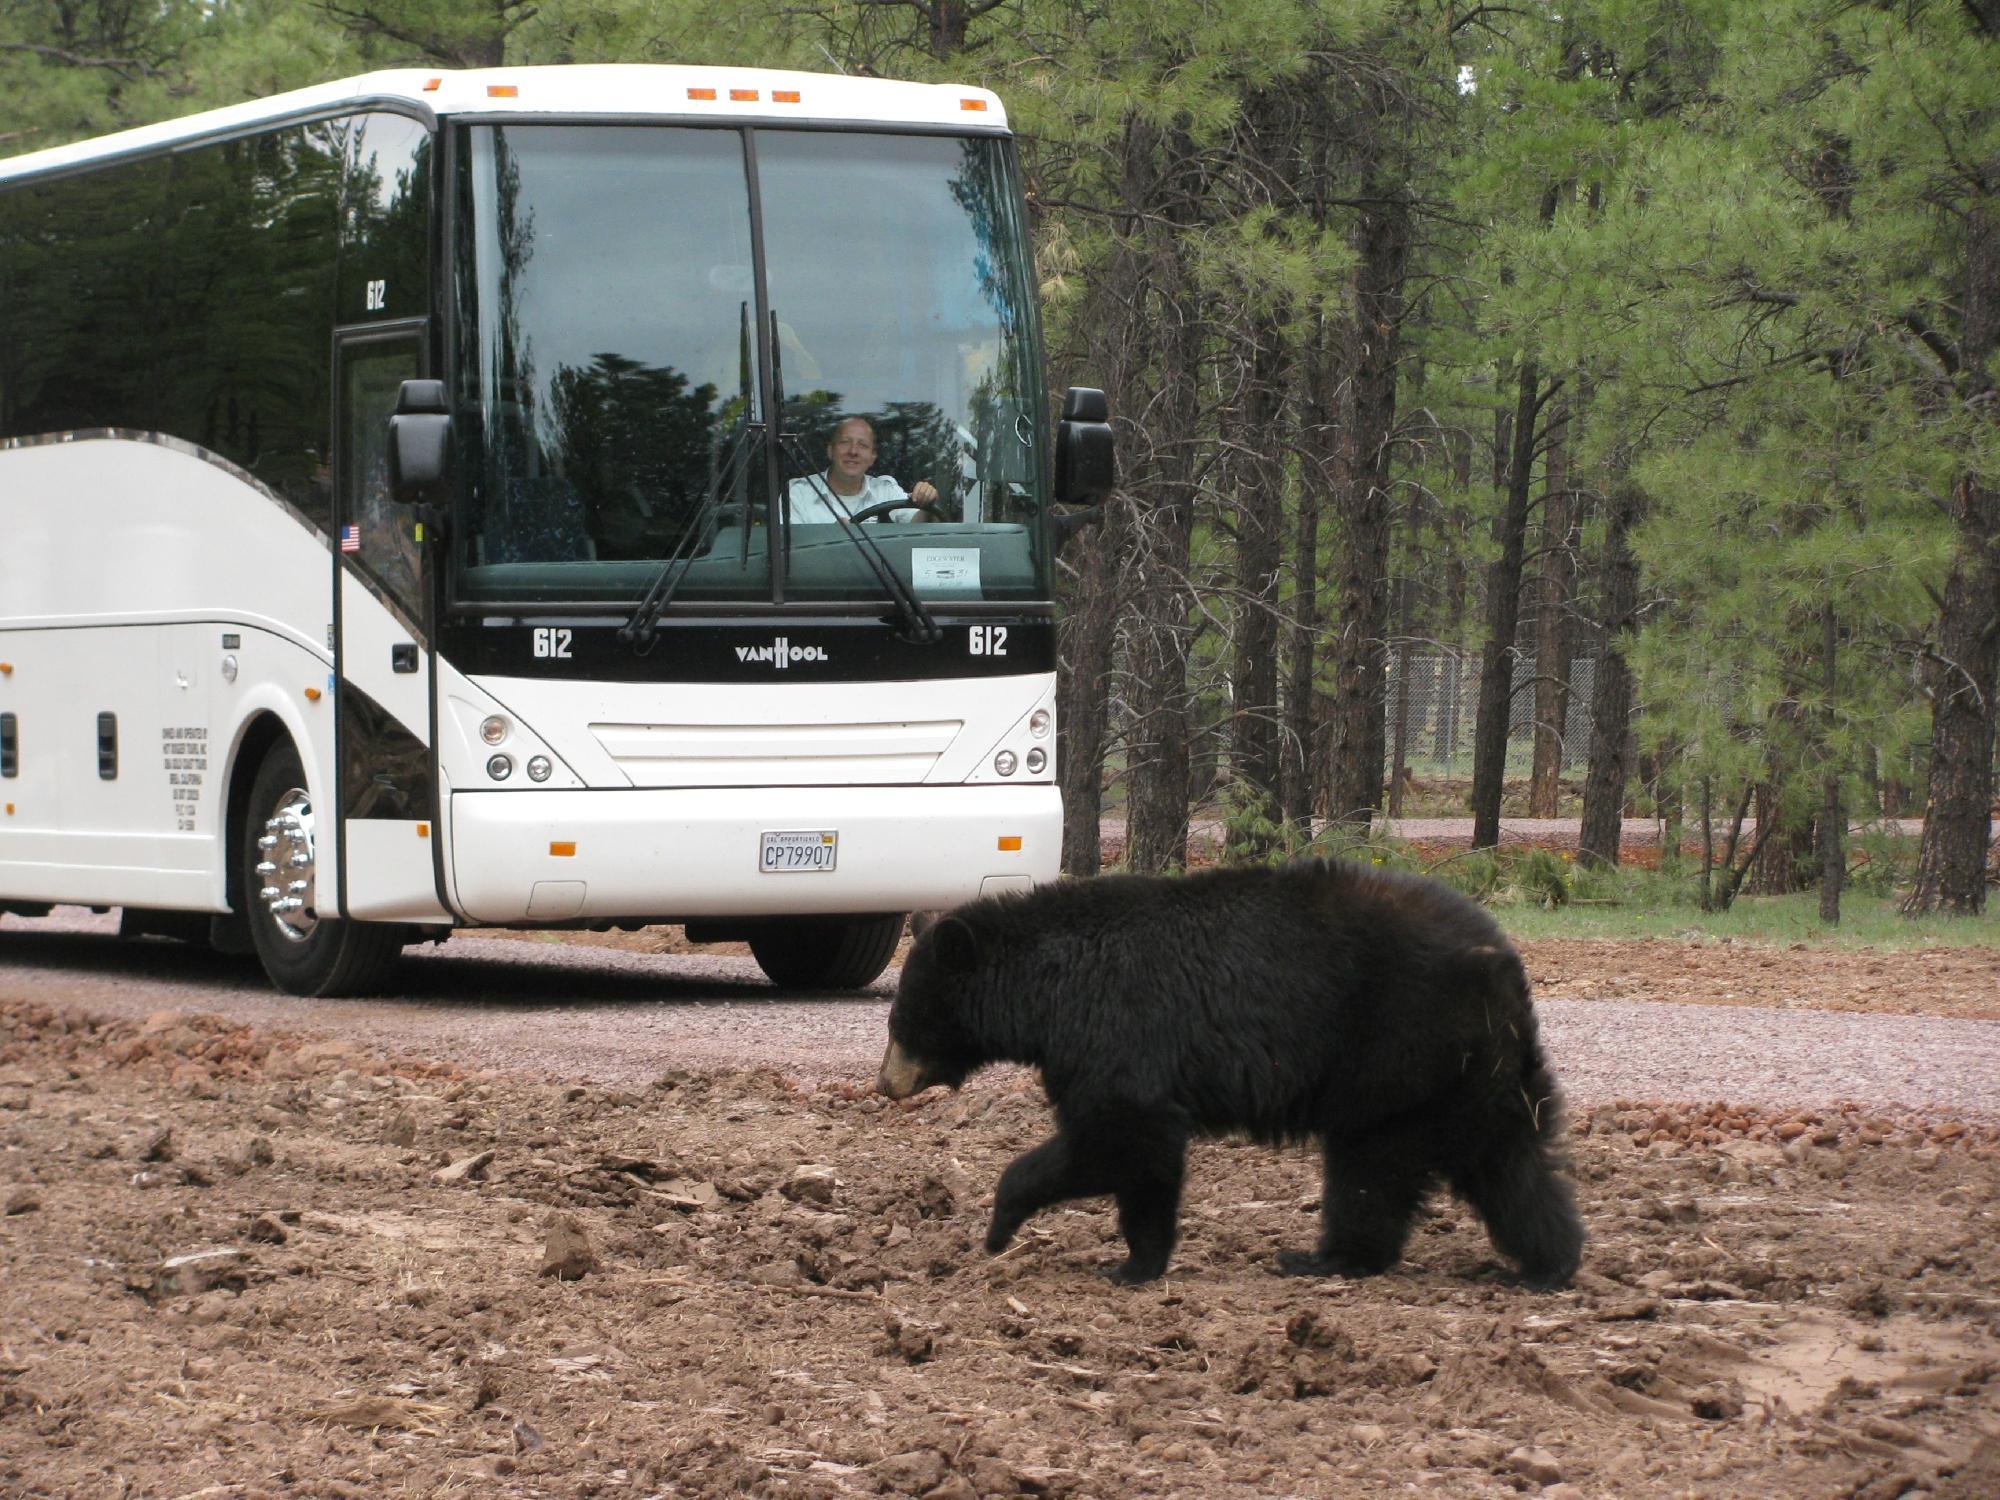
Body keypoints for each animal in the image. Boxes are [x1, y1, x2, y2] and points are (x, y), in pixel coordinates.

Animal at [872, 856, 1576, 1296]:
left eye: (900, 1020)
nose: (885, 1085)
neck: (1046, 991)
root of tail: (1500, 957)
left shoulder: (1116, 1031)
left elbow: (1118, 1136)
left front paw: (1004, 1224)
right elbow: (1144, 1158)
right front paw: (1141, 1262)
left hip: (1395, 1047)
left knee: (1375, 1164)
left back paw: (1327, 1258)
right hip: (1474, 1069)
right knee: (1507, 1158)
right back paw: (1548, 1261)